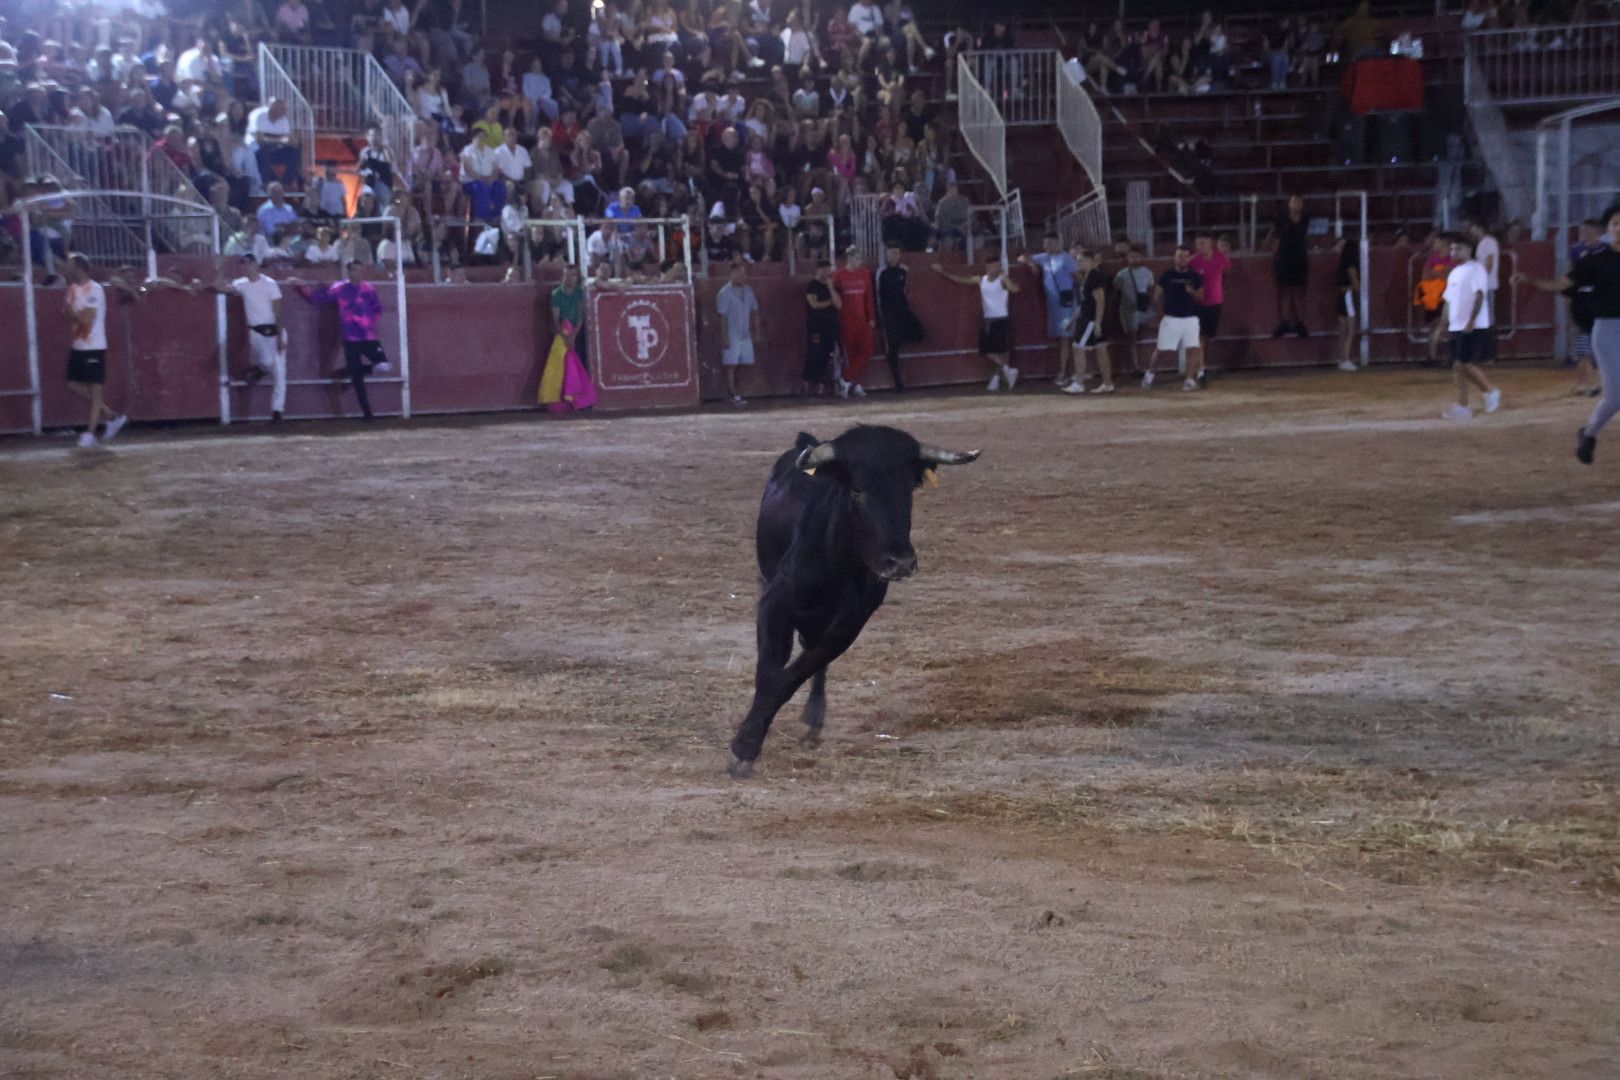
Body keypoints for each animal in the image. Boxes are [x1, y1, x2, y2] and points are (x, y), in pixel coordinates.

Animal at [729, 424, 978, 777]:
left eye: (909, 489)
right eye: (858, 489)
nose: (901, 562)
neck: (837, 564)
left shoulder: (849, 624)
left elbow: (798, 672)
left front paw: (749, 744)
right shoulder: (773, 605)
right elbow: (769, 673)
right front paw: (746, 744)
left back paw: (813, 720)